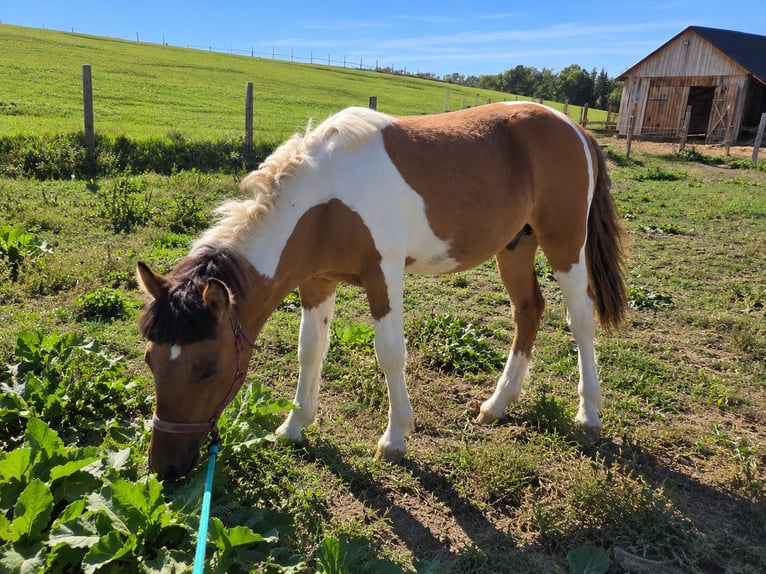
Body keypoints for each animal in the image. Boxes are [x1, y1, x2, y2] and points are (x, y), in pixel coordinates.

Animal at [137, 102, 627, 481]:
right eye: (150, 360)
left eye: (207, 368)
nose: (164, 468)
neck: (326, 199)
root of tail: (574, 128)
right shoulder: (317, 281)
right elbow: (310, 349)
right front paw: (294, 425)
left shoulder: (383, 275)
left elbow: (390, 353)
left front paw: (394, 439)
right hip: (516, 246)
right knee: (528, 310)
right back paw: (497, 404)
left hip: (564, 244)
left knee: (580, 320)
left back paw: (588, 415)